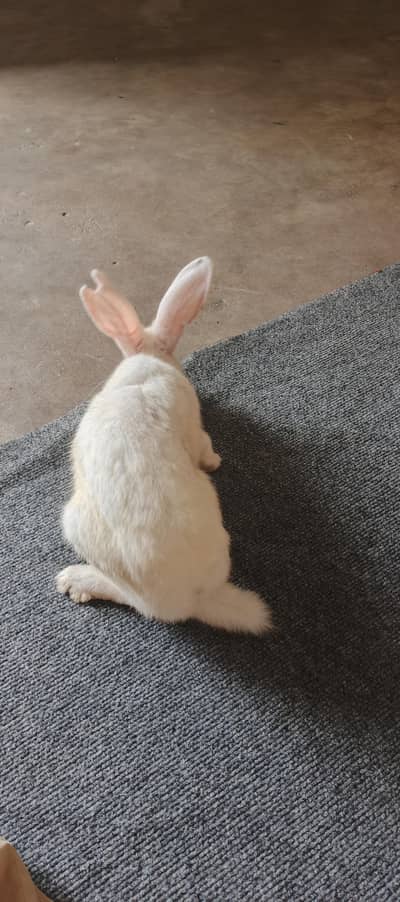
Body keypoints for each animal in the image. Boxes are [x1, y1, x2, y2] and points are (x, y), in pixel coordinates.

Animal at [56, 257, 272, 634]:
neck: (151, 358)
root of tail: (192, 598)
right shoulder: (195, 431)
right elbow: (204, 445)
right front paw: (215, 461)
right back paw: (78, 581)